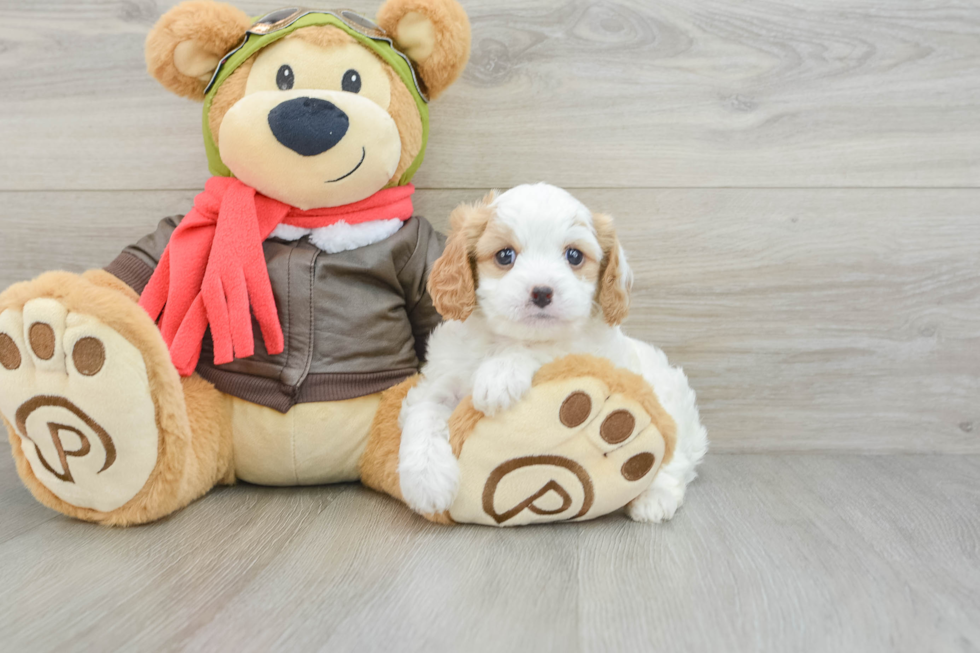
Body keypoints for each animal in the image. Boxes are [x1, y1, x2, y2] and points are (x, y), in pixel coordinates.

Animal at [394, 182, 708, 520]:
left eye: (574, 255)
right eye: (505, 255)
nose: (542, 292)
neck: (502, 340)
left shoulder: (584, 351)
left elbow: (542, 351)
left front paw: (499, 375)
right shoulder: (442, 377)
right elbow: (424, 411)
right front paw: (426, 483)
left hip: (672, 405)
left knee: (675, 456)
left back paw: (654, 499)